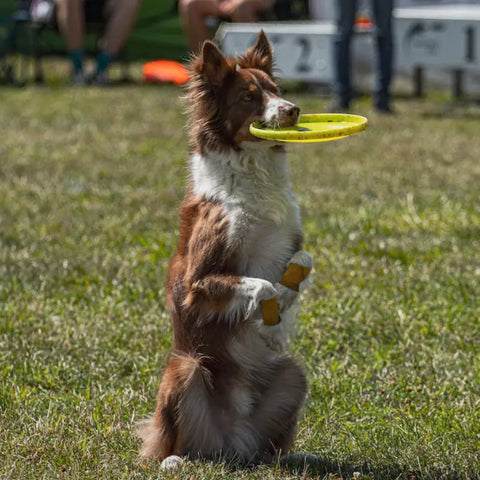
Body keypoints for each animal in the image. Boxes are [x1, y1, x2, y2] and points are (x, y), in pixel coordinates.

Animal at [137, 31, 314, 468]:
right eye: (249, 97)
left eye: (275, 90)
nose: (293, 110)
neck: (254, 174)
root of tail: (228, 444)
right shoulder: (197, 283)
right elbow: (260, 285)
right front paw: (268, 325)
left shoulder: (289, 240)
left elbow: (300, 265)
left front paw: (278, 327)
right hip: (184, 369)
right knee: (174, 443)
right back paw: (173, 461)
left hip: (293, 376)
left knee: (270, 442)